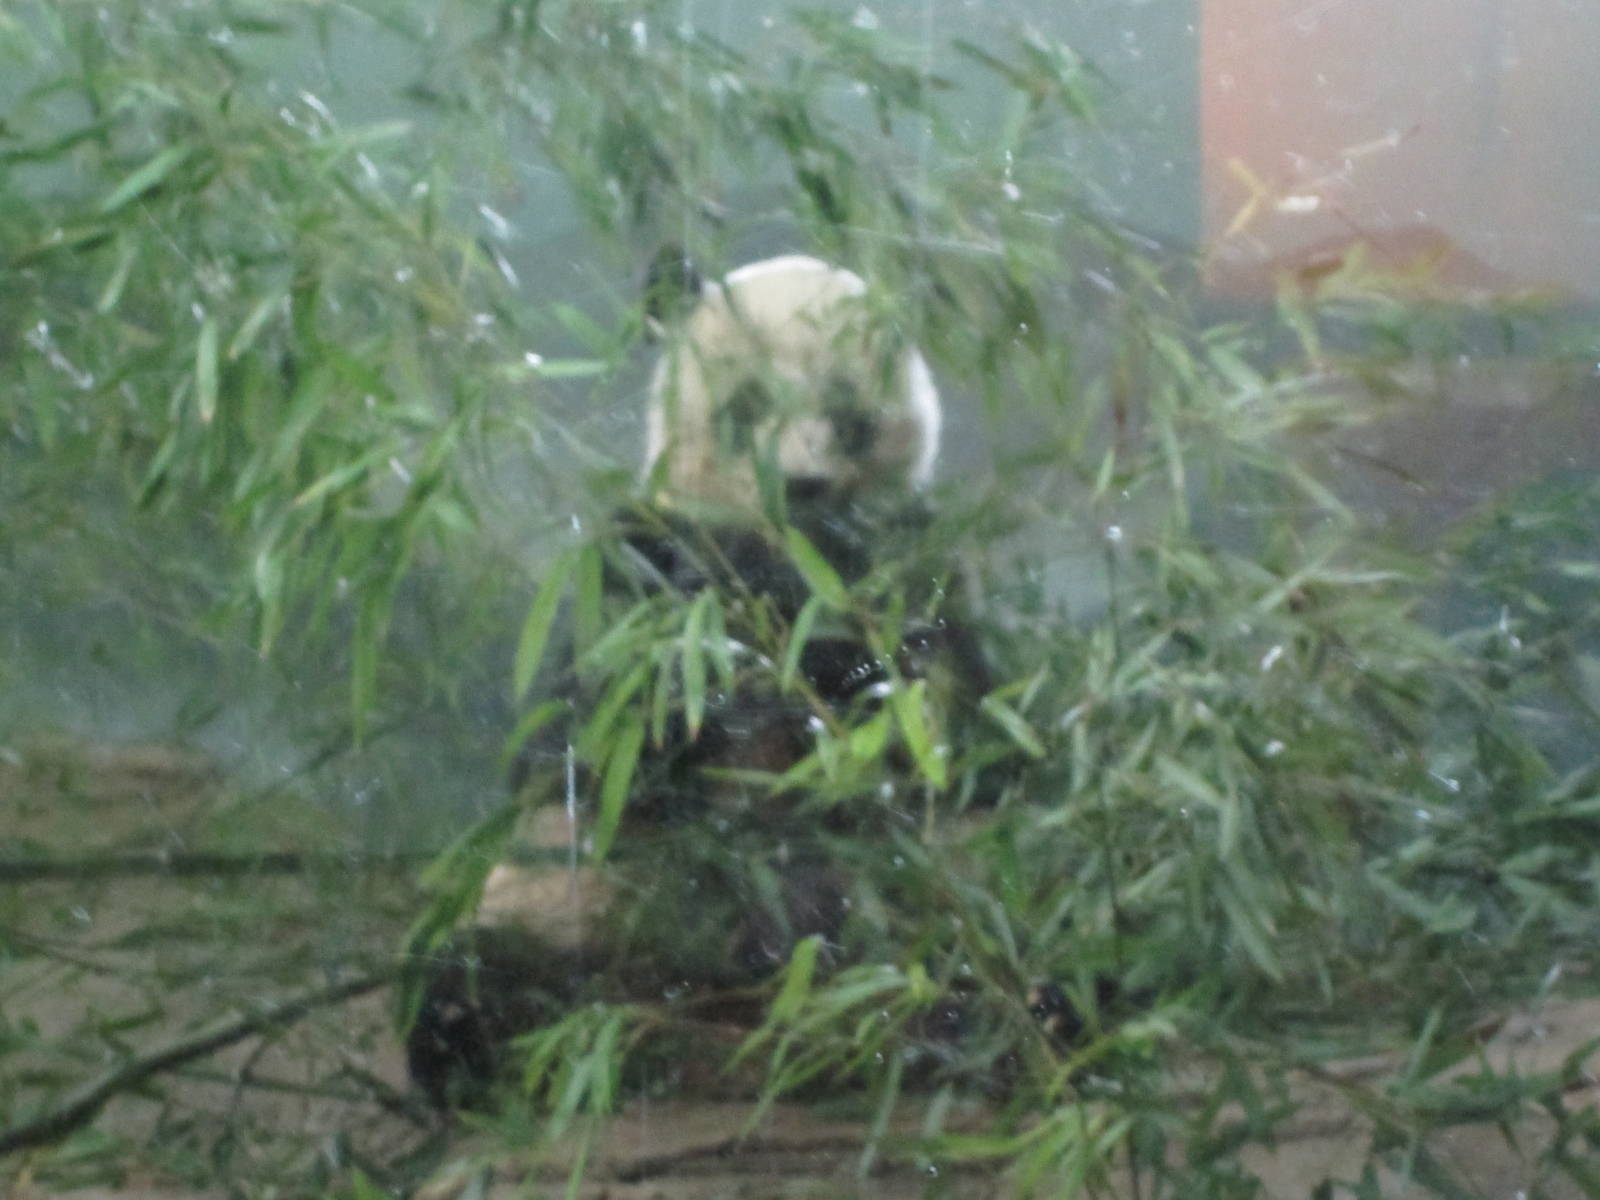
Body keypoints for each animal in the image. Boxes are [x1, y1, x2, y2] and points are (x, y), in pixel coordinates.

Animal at [403, 252, 991, 1111]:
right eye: (748, 406)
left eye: (847, 415)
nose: (804, 486)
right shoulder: (637, 568)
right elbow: (580, 751)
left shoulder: (916, 571)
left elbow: (950, 744)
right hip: (562, 909)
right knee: (474, 969)